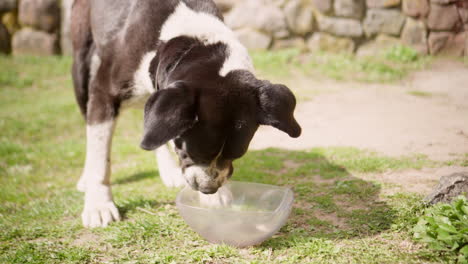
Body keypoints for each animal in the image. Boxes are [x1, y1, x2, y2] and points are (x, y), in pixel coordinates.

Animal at [71, 0, 302, 227]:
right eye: (194, 153)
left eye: (236, 155)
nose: (209, 189)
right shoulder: (103, 93)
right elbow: (100, 158)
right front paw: (99, 205)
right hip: (81, 66)